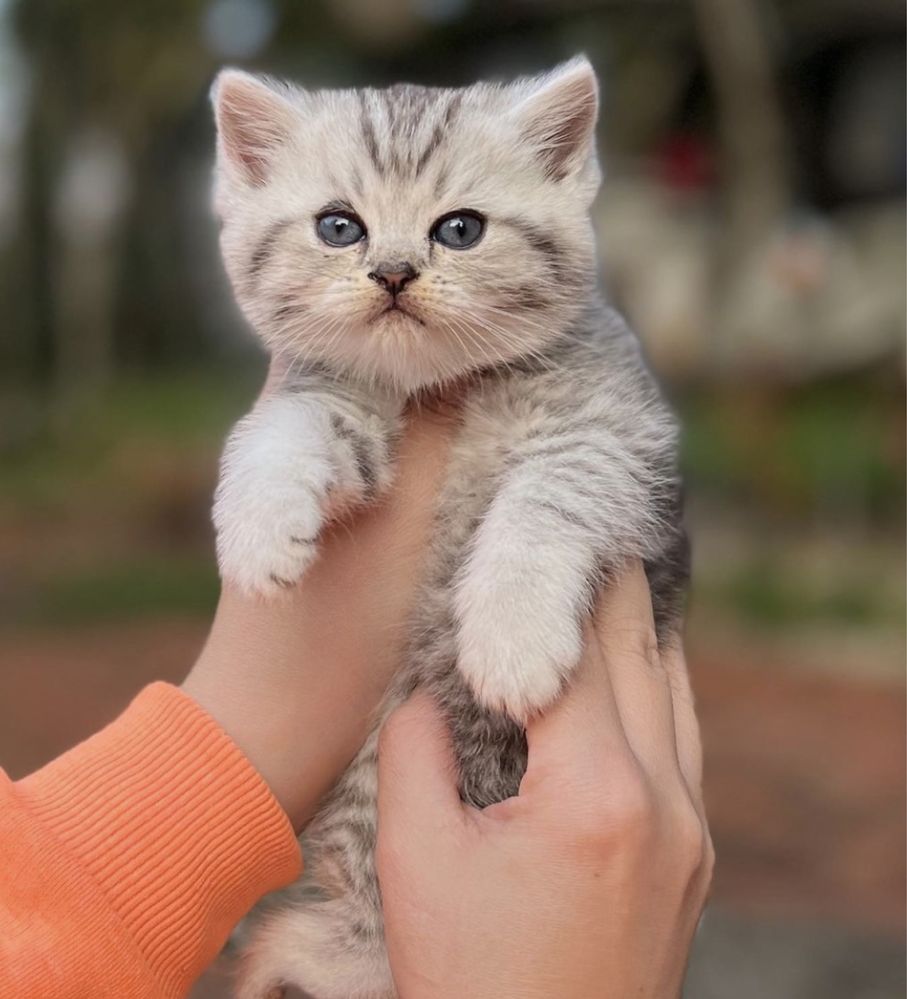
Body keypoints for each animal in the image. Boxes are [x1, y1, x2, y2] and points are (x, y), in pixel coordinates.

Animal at [209, 56, 688, 999]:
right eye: (339, 226)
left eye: (459, 230)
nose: (393, 272)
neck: (438, 386)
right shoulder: (335, 392)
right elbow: (291, 423)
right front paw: (257, 523)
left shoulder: (622, 437)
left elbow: (548, 495)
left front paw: (509, 634)